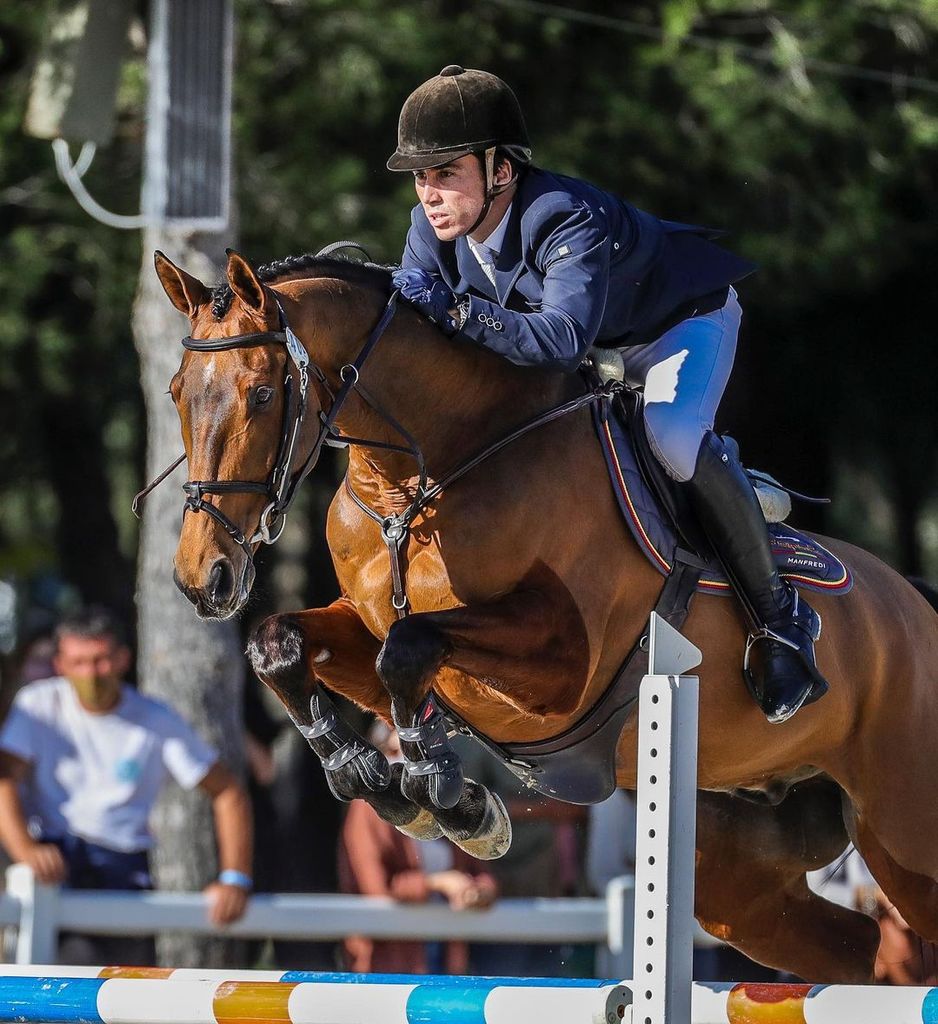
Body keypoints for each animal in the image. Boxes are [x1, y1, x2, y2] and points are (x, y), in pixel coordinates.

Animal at [150, 247, 938, 983]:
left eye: (260, 393)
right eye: (177, 392)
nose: (202, 578)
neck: (420, 483)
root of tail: (915, 603)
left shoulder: (564, 667)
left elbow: (408, 645)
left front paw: (450, 799)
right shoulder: (364, 629)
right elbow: (283, 642)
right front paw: (368, 774)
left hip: (904, 834)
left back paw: (785, 660)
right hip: (741, 864)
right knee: (854, 946)